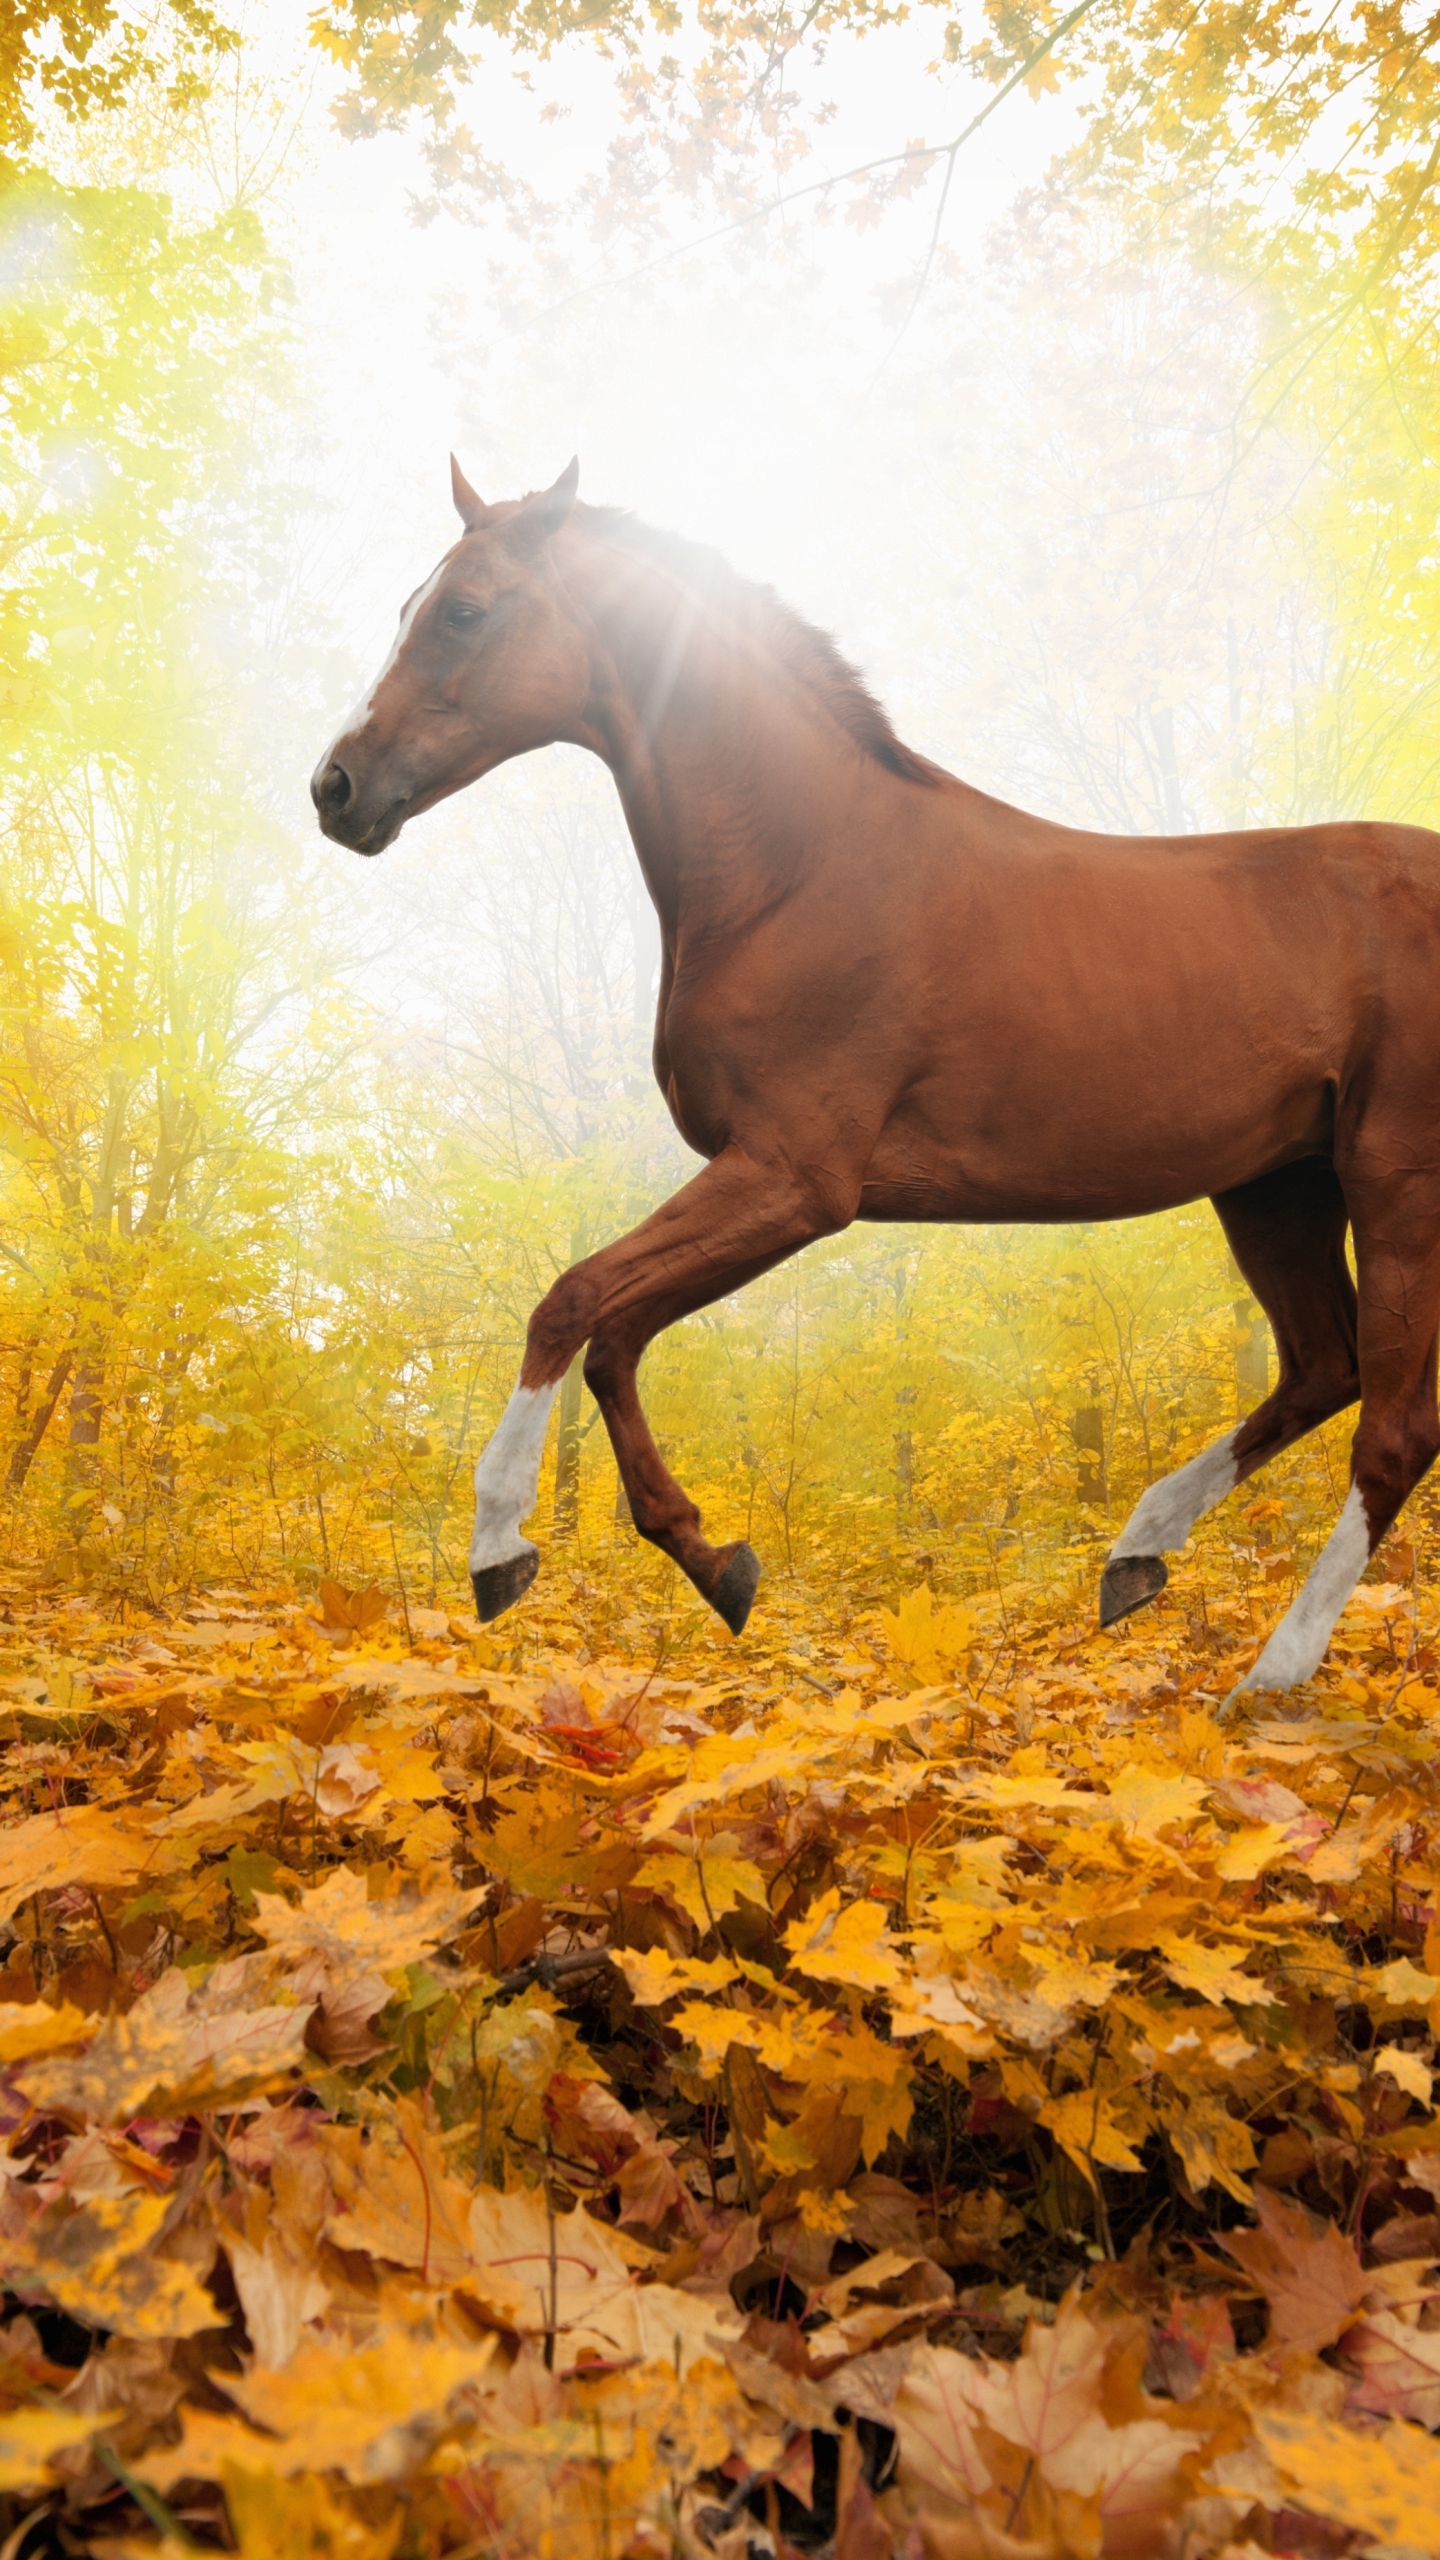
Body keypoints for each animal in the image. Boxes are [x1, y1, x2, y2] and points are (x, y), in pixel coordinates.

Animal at [308, 460, 1424, 1699]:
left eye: (464, 611)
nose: (337, 789)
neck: (801, 870)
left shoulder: (795, 1179)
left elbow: (572, 1301)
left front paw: (499, 1549)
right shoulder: (767, 1186)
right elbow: (615, 1336)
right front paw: (714, 1559)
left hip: (1393, 1182)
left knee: (1391, 1430)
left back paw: (1272, 1673)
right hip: (1274, 1187)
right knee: (1323, 1366)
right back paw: (1136, 1554)